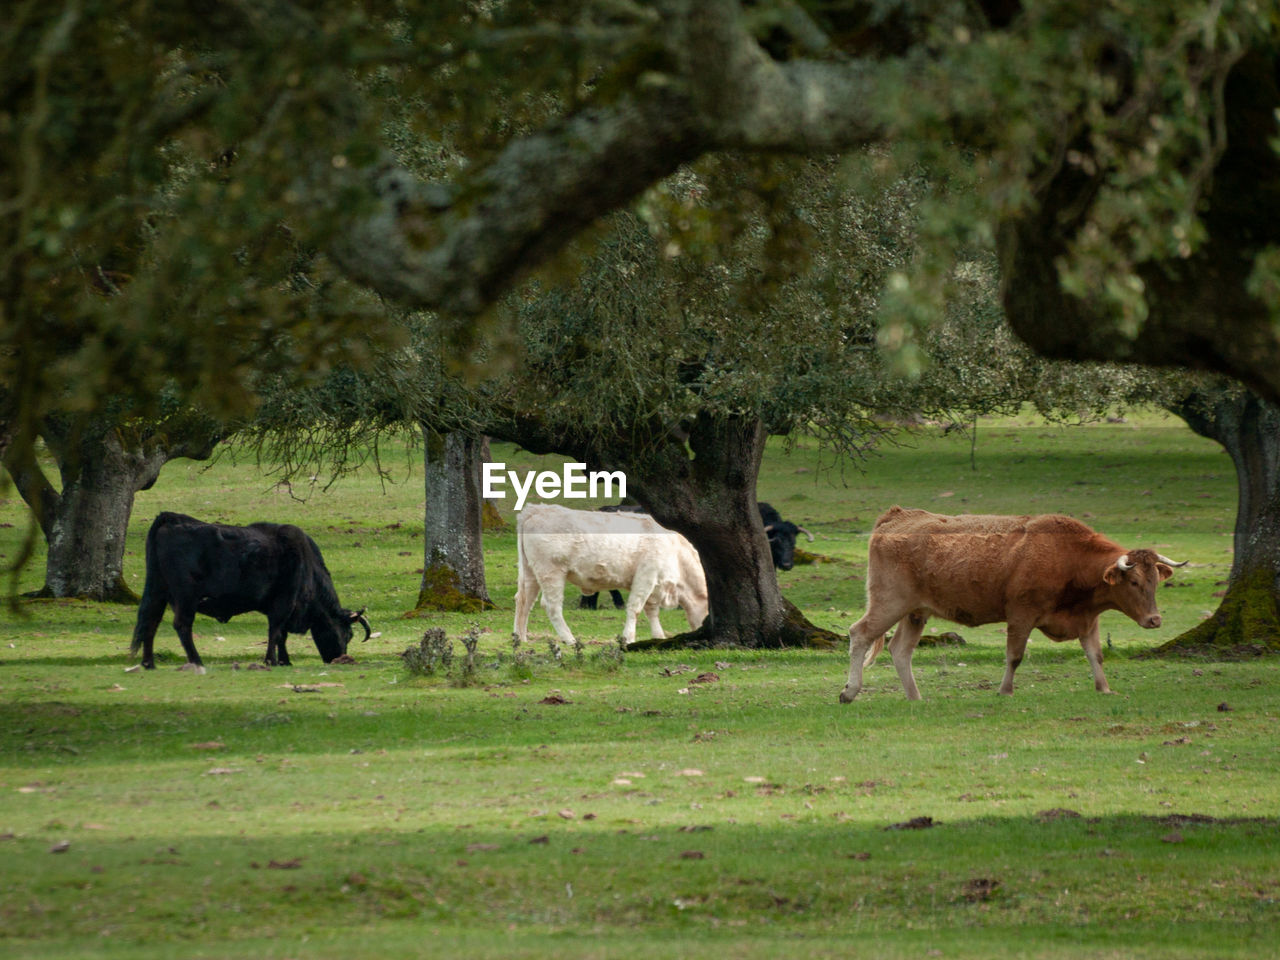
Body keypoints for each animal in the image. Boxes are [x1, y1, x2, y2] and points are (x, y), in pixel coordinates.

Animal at [131, 512, 371, 675]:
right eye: (348, 633)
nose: (340, 659)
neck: (307, 566)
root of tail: (171, 518)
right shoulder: (283, 604)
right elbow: (276, 632)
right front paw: (272, 660)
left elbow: (281, 635)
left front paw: (284, 660)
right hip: (185, 598)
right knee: (182, 626)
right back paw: (197, 661)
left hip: (158, 592)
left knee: (150, 623)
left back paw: (149, 664)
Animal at [512, 499, 711, 650]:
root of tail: (535, 510)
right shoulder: (646, 575)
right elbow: (635, 608)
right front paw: (628, 638)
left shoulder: (653, 584)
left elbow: (651, 611)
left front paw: (658, 636)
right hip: (551, 572)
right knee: (551, 606)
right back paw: (569, 639)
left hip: (530, 572)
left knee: (524, 601)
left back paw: (520, 637)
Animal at [834, 506, 1182, 701]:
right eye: (1134, 582)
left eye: (1155, 581)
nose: (1155, 620)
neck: (1069, 557)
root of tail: (896, 517)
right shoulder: (1021, 615)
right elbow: (1014, 656)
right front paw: (1005, 691)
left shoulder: (1087, 619)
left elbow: (1095, 654)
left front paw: (1105, 688)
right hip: (889, 603)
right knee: (860, 634)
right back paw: (850, 692)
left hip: (915, 613)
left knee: (900, 651)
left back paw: (915, 697)